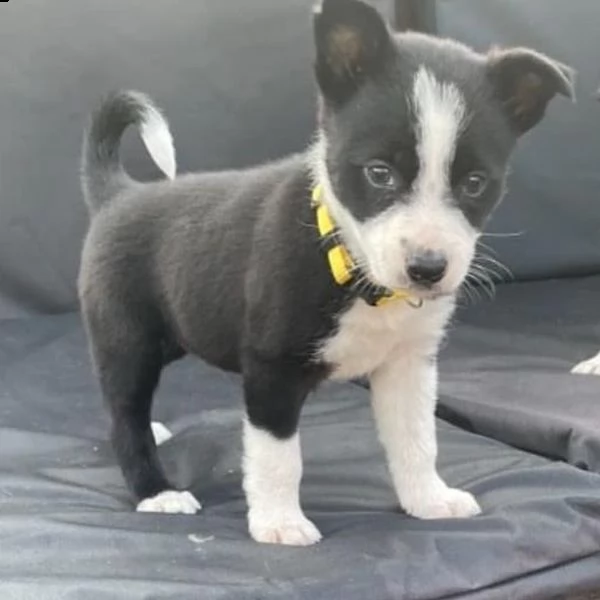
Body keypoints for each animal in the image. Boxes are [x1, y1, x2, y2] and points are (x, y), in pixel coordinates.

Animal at [77, 0, 576, 548]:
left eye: (474, 183)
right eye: (379, 173)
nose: (428, 269)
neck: (352, 267)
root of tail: (119, 194)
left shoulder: (408, 365)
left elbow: (417, 439)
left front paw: (428, 499)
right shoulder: (270, 369)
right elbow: (278, 457)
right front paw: (279, 523)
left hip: (174, 333)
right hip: (129, 338)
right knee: (125, 414)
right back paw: (157, 492)